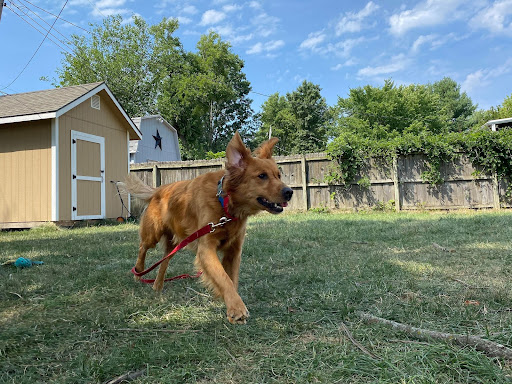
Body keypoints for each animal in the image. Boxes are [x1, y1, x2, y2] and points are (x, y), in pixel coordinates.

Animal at [122, 133, 294, 324]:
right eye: (262, 176)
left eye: (278, 175)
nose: (289, 192)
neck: (226, 204)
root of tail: (158, 189)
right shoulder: (206, 248)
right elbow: (223, 278)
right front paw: (237, 308)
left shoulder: (234, 251)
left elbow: (231, 279)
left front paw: (229, 305)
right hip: (153, 234)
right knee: (142, 248)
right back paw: (138, 272)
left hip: (174, 243)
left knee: (164, 261)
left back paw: (157, 285)